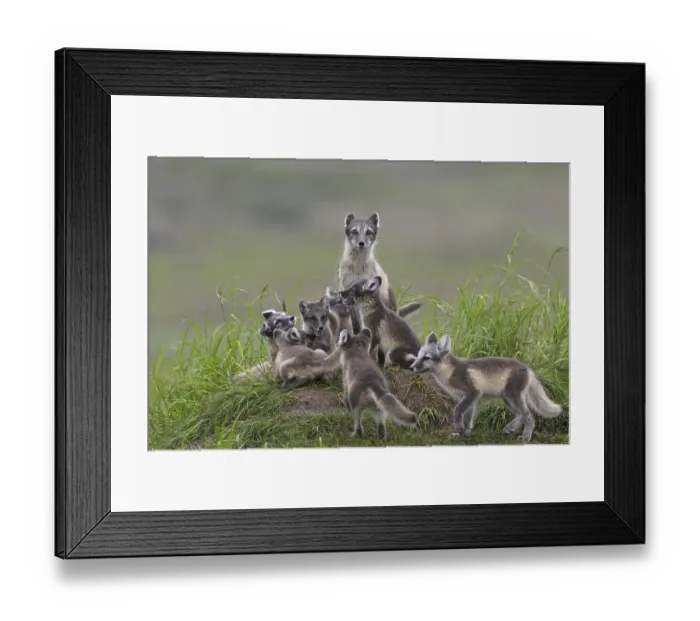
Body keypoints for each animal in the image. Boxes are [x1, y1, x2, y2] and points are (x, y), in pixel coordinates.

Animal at [409, 332, 564, 443]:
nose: (411, 367)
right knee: (521, 414)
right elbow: (468, 418)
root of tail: (527, 368)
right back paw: (510, 429)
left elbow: (457, 411)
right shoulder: (468, 399)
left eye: (426, 358)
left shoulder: (472, 392)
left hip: (512, 396)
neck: (449, 372)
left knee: (529, 415)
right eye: (418, 356)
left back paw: (525, 437)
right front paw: (463, 433)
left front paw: (459, 429)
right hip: (507, 399)